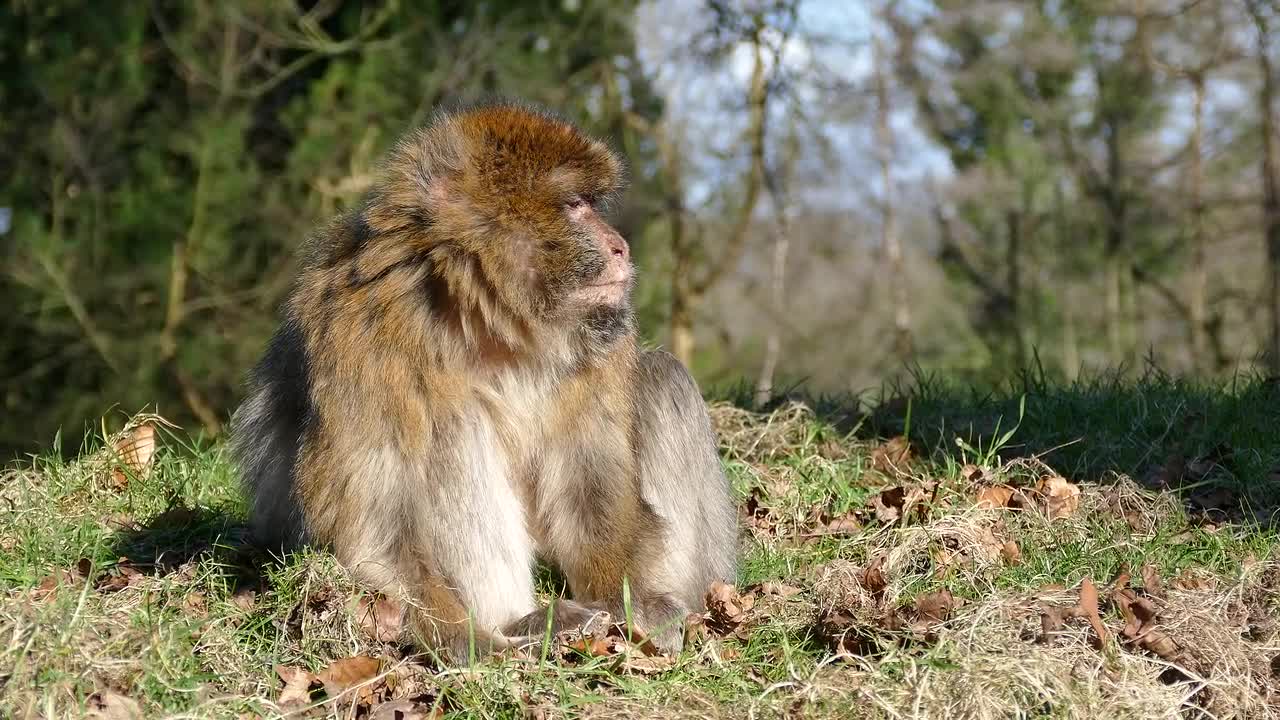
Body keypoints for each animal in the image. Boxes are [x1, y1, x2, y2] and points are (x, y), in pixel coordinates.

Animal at [232, 101, 742, 661]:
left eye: (590, 203)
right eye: (574, 206)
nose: (620, 247)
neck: (490, 320)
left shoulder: (603, 338)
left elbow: (589, 474)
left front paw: (628, 599)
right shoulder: (364, 336)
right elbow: (376, 524)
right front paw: (465, 640)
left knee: (663, 379)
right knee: (454, 432)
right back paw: (519, 622)